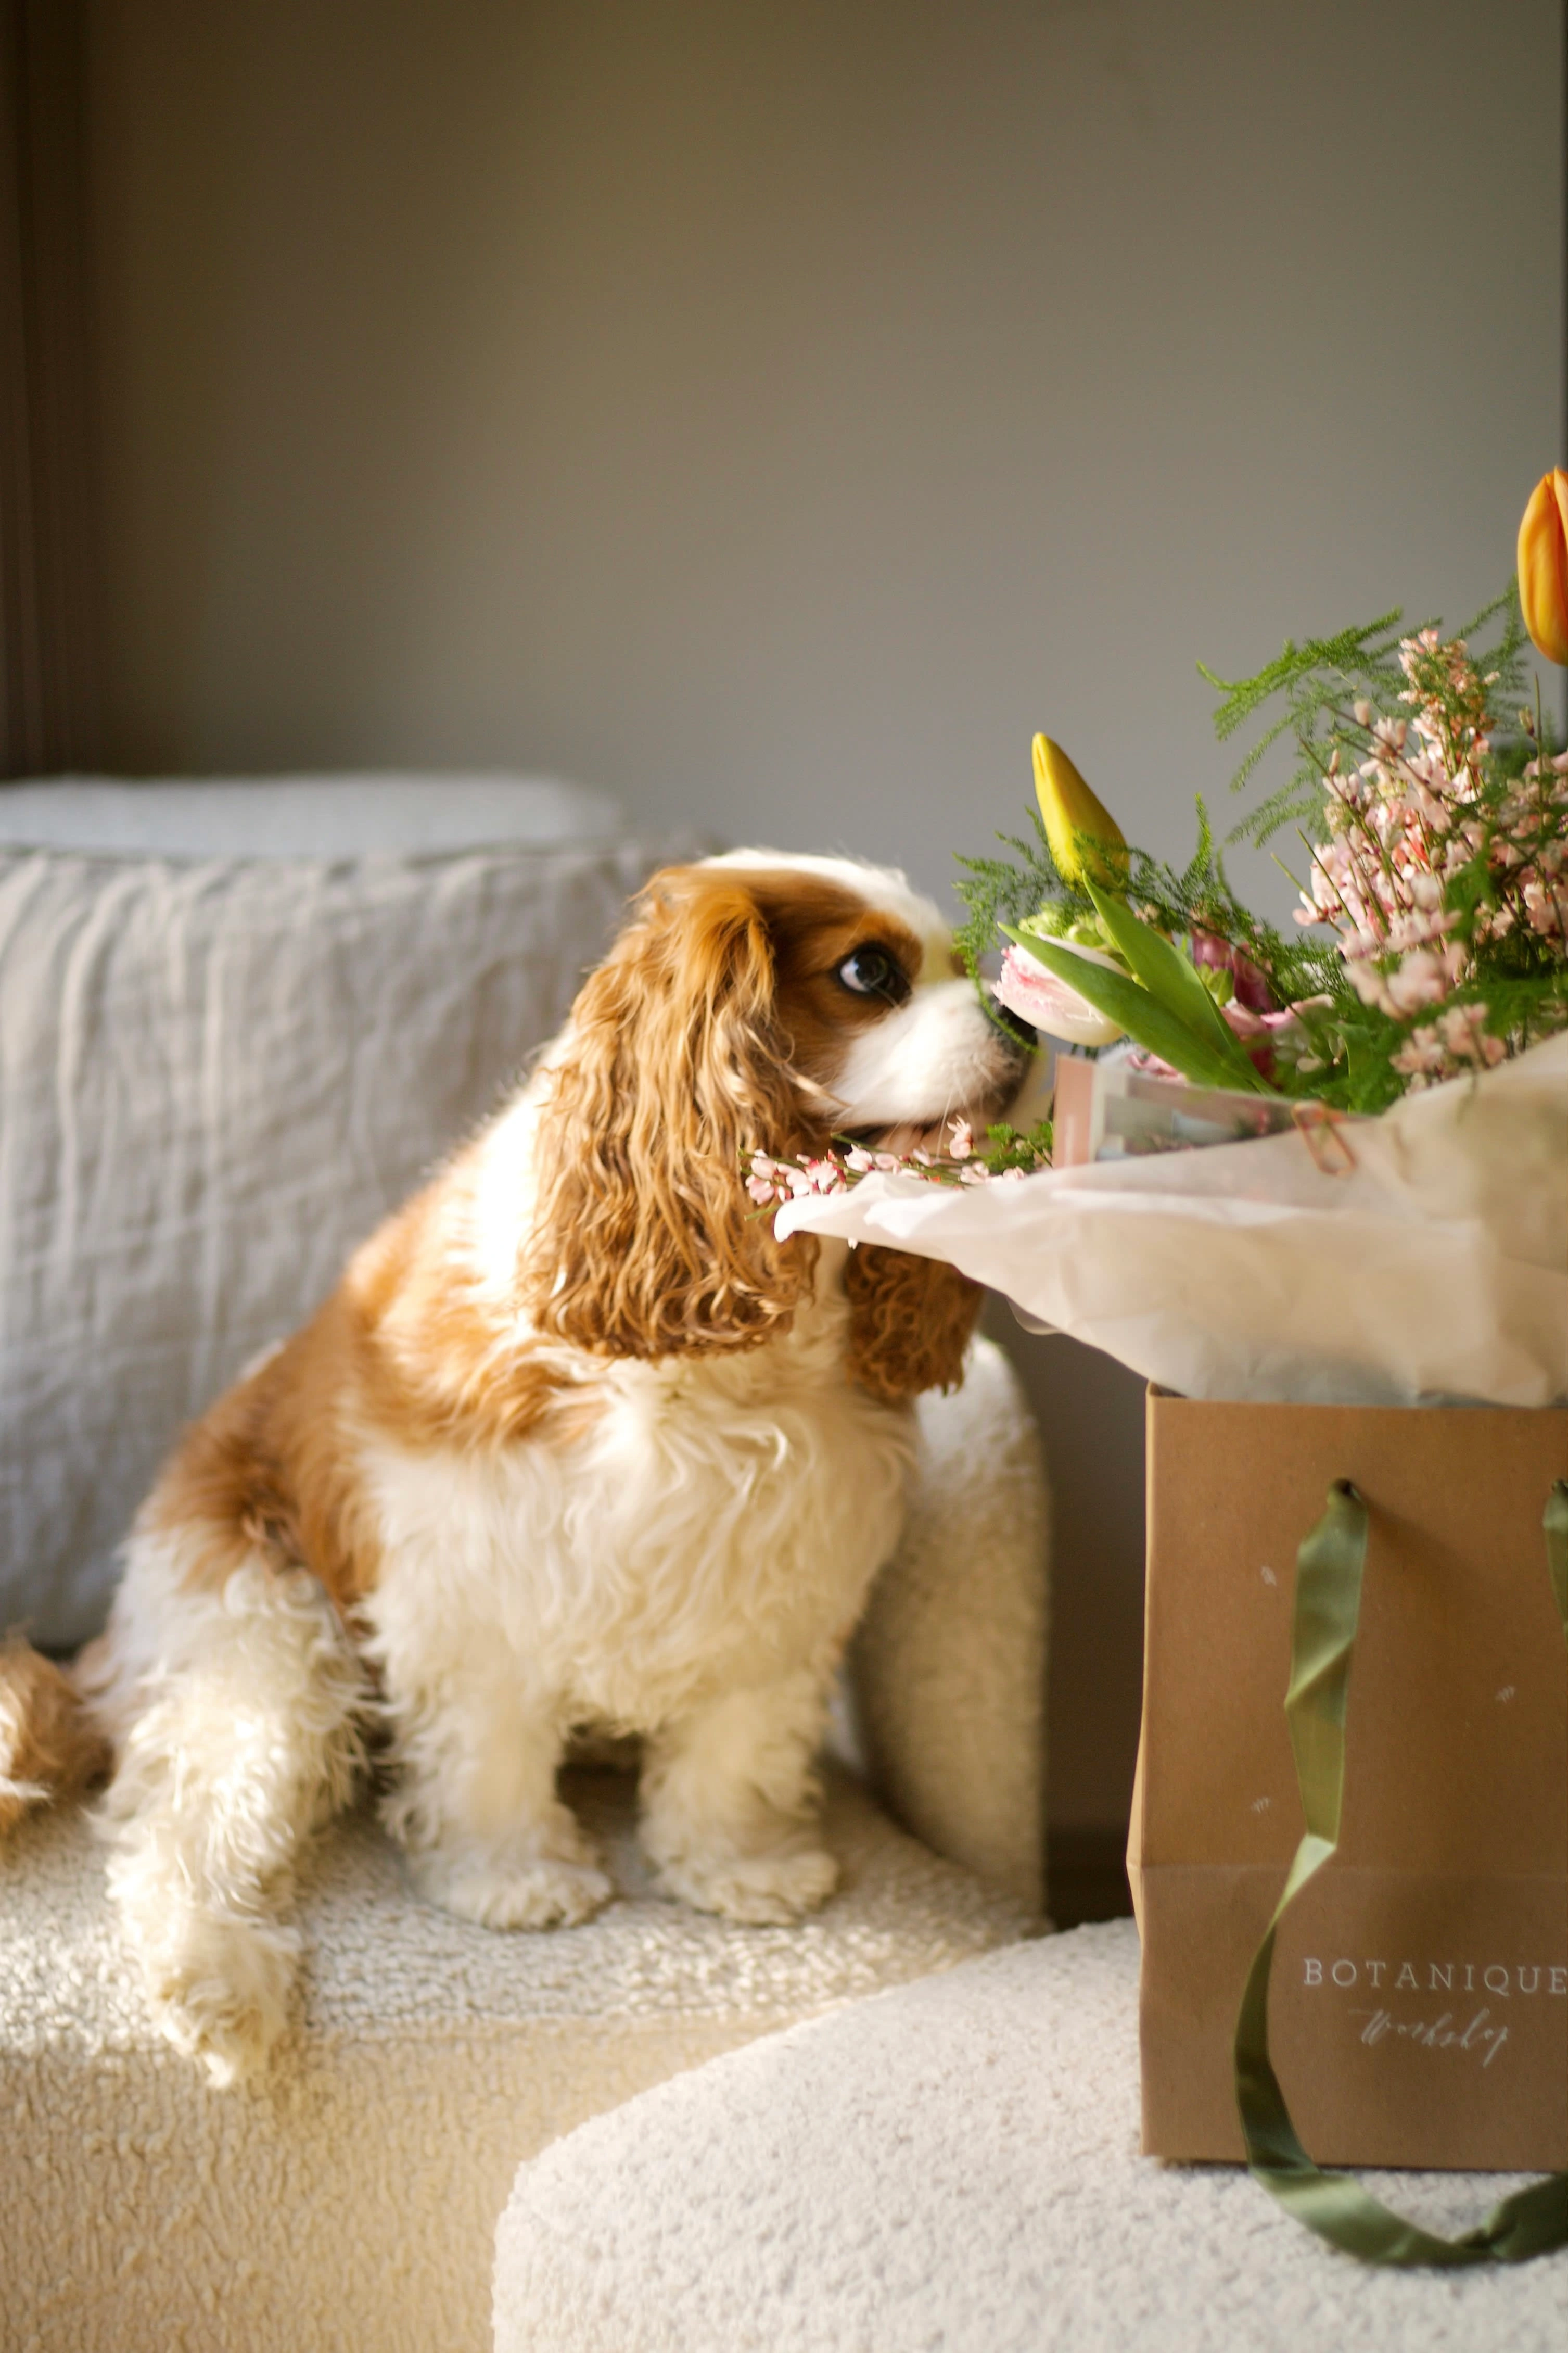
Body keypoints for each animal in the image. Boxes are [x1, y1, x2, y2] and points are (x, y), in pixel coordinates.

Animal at [3, 847, 1029, 2080]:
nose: (1028, 1016)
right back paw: (218, 1981)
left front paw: (735, 1863)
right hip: (263, 1640)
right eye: (869, 972)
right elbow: (488, 1744)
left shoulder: (781, 1561)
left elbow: (736, 1736)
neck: (716, 1363)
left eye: (967, 964)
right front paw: (512, 1877)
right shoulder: (475, 1566)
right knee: (179, 1813)